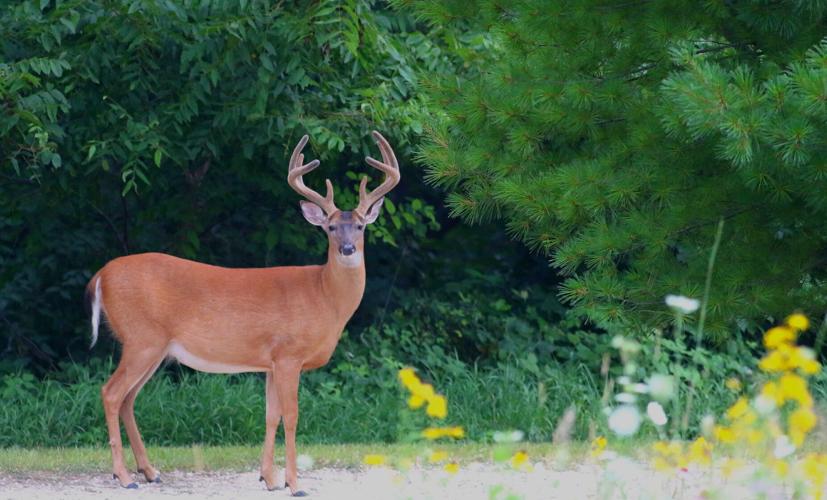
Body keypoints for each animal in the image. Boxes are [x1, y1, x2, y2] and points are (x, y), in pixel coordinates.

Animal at [85, 131, 400, 496]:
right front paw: (295, 484)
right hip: (141, 338)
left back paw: (149, 471)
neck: (324, 296)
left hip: (153, 347)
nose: (347, 249)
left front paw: (269, 478)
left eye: (361, 226)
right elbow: (292, 416)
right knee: (111, 393)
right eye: (331, 228)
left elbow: (271, 415)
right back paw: (124, 476)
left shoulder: (271, 362)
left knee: (128, 398)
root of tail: (100, 276)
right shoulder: (289, 355)